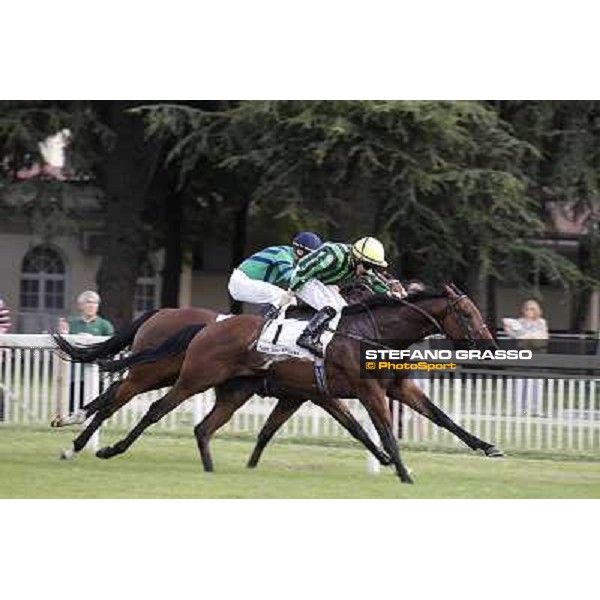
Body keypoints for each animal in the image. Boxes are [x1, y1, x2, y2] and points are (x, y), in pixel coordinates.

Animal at [89, 284, 500, 486]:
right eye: (467, 313)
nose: (491, 345)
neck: (373, 333)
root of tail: (206, 327)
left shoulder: (384, 389)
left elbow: (442, 418)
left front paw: (487, 446)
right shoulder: (360, 392)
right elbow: (381, 430)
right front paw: (401, 471)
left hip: (231, 390)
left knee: (199, 426)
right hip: (184, 376)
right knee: (148, 407)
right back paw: (103, 448)